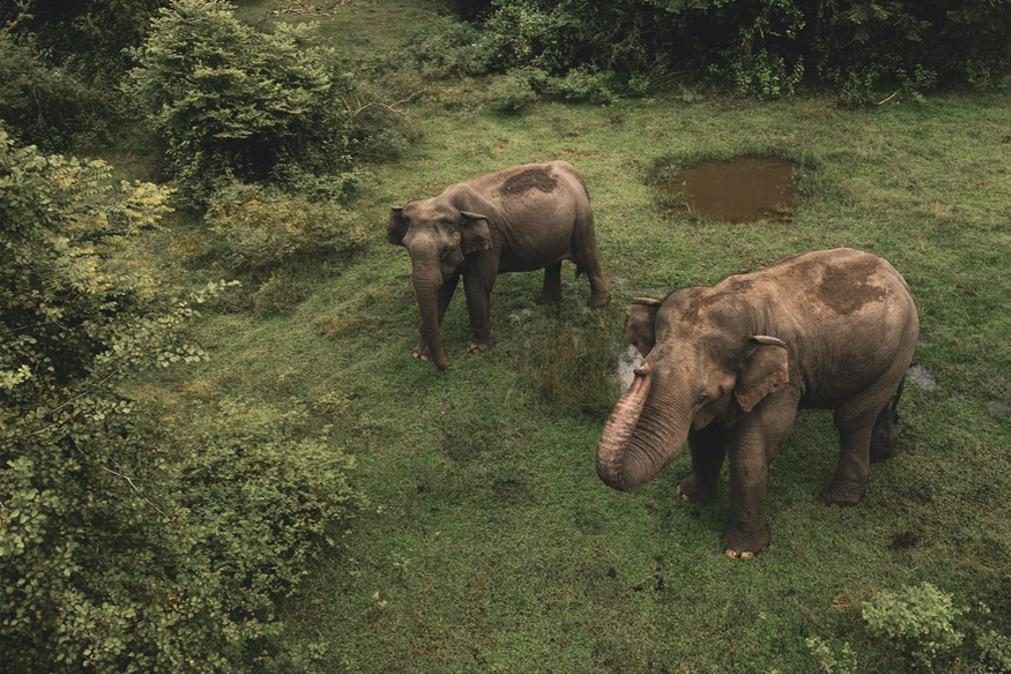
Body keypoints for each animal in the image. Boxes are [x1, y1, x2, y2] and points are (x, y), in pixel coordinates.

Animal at [386, 161, 606, 371]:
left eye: (445, 251)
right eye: (407, 248)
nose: (448, 366)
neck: (447, 202)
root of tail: (574, 171)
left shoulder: (490, 241)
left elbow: (477, 285)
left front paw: (477, 349)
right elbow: (442, 289)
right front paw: (420, 354)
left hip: (582, 220)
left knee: (588, 257)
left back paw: (597, 306)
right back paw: (546, 302)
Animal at [594, 247, 922, 557]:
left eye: (704, 396)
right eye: (643, 364)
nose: (641, 372)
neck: (741, 300)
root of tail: (897, 275)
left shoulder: (785, 380)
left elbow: (752, 451)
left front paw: (742, 552)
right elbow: (704, 437)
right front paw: (688, 495)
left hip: (902, 343)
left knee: (852, 418)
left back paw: (837, 499)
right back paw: (882, 453)